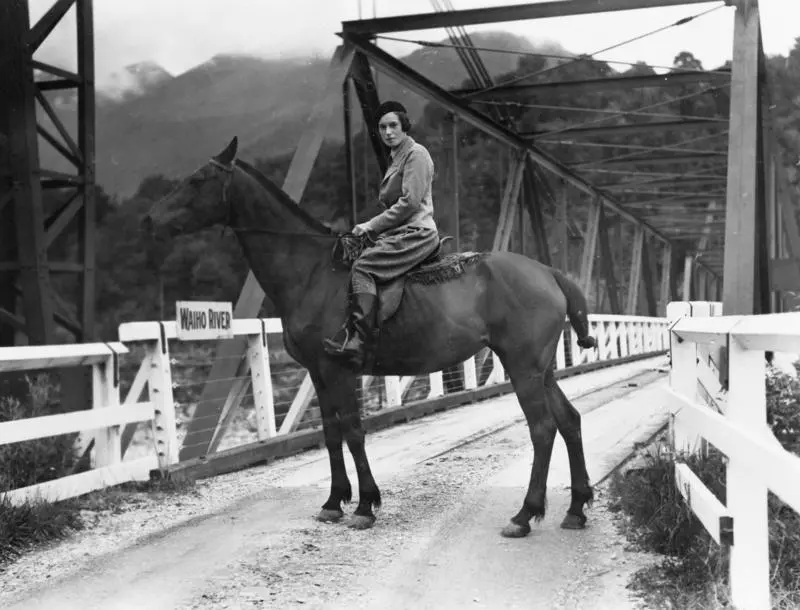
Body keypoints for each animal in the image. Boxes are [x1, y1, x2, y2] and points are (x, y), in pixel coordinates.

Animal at [142, 138, 600, 536]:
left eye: (200, 179)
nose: (150, 219)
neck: (311, 270)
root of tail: (548, 272)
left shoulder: (340, 369)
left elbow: (354, 432)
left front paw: (364, 505)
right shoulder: (319, 373)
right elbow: (331, 434)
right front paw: (334, 501)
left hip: (523, 367)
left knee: (542, 428)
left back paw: (525, 515)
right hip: (541, 370)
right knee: (569, 421)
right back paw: (576, 509)